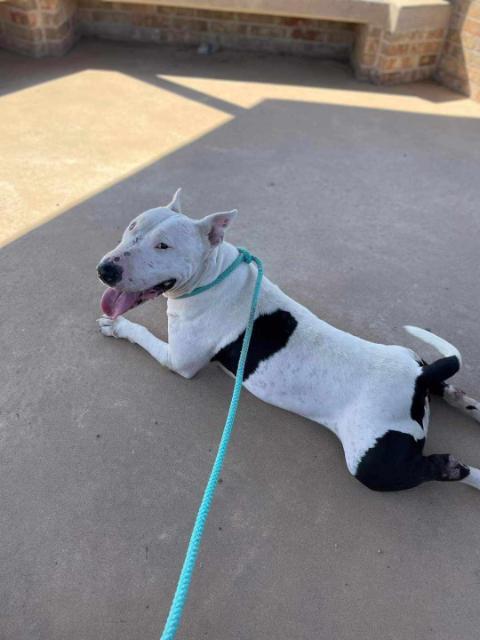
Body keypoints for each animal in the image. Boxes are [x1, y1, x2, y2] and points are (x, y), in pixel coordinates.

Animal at [96, 191, 480, 496]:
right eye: (132, 227)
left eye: (164, 245)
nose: (105, 269)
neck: (213, 274)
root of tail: (419, 378)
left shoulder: (179, 361)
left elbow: (141, 334)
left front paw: (116, 326)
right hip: (416, 365)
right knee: (450, 391)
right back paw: (463, 400)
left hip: (374, 463)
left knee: (430, 470)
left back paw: (455, 468)